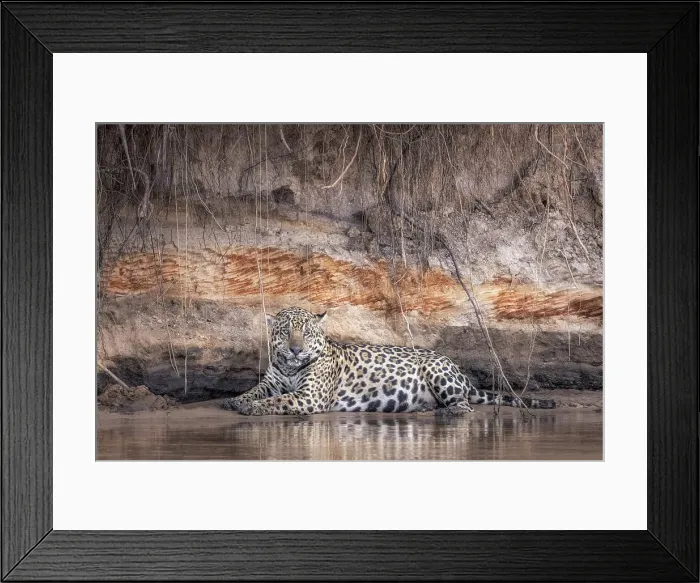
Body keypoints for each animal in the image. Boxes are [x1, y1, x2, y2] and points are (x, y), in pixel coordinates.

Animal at [222, 307, 556, 416]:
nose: (294, 349)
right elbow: (256, 391)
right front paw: (235, 400)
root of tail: (459, 371)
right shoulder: (273, 381)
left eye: (306, 332)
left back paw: (448, 412)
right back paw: (423, 408)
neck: (290, 367)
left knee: (464, 405)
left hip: (437, 371)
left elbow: (279, 401)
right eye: (286, 331)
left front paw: (252, 408)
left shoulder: (309, 397)